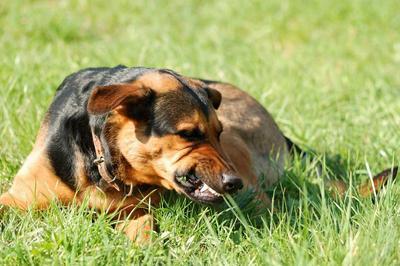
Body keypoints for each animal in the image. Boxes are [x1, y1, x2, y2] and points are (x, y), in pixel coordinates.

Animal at [0, 65, 396, 242]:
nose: (232, 182)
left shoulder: (137, 211)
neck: (101, 159)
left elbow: (144, 230)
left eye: (215, 133)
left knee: (274, 202)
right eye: (188, 134)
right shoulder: (20, 194)